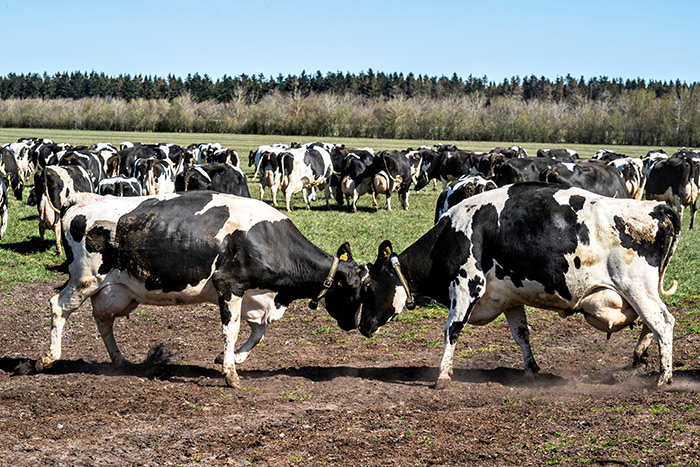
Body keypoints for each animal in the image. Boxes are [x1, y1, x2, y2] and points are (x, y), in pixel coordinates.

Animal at [34, 190, 364, 388]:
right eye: (358, 291)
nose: (361, 326)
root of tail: (84, 199)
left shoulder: (256, 297)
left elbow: (258, 332)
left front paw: (231, 359)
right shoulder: (229, 285)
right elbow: (231, 329)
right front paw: (230, 372)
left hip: (115, 290)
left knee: (103, 320)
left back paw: (120, 361)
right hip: (84, 279)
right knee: (58, 306)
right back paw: (48, 358)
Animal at [352, 185, 680, 390]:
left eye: (367, 288)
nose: (362, 326)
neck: (453, 234)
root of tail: (655, 207)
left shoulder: (467, 286)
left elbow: (452, 330)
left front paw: (442, 375)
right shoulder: (509, 298)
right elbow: (521, 334)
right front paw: (531, 370)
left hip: (636, 287)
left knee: (662, 322)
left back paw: (664, 377)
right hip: (638, 292)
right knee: (650, 324)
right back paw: (640, 357)